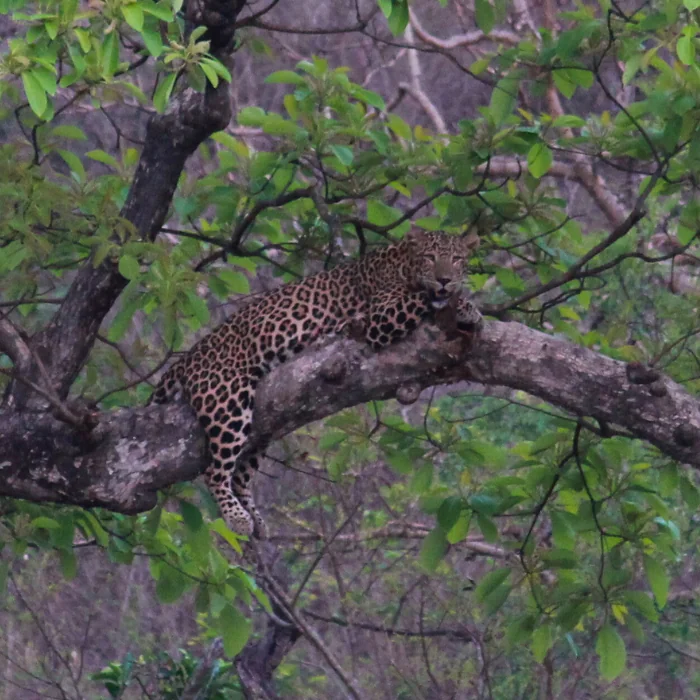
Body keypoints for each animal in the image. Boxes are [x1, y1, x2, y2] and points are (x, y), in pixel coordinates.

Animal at [148, 229, 483, 539]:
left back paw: (256, 520)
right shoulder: (378, 319)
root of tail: (187, 359)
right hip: (227, 401)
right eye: (430, 257)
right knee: (215, 472)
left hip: (261, 427)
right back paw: (237, 518)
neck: (404, 264)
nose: (444, 280)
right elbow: (422, 300)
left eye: (457, 259)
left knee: (240, 475)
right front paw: (464, 305)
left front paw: (467, 307)